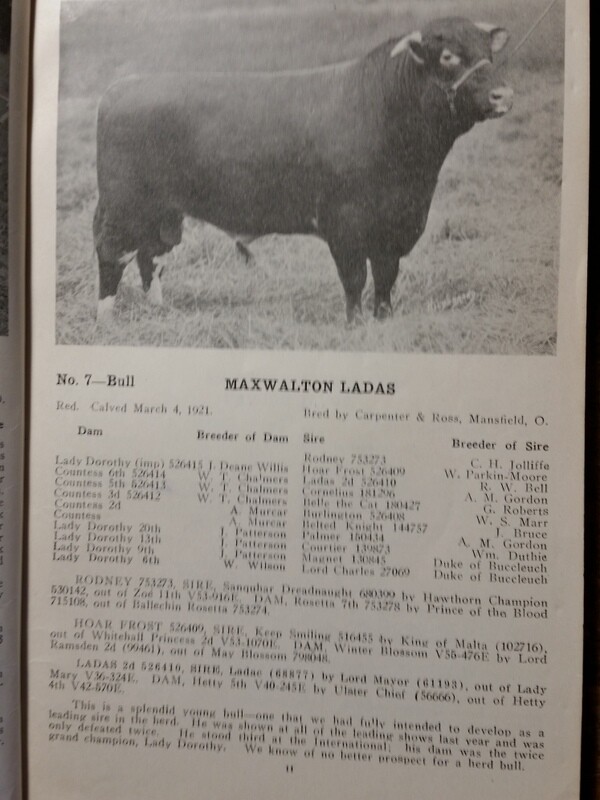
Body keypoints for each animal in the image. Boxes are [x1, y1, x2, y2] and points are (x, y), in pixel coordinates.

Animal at [93, 17, 513, 324]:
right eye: (448, 56)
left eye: (489, 54)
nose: (503, 95)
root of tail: (122, 87)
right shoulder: (345, 223)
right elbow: (354, 279)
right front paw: (355, 325)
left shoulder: (396, 224)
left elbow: (385, 276)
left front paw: (383, 319)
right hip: (123, 205)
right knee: (112, 254)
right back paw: (106, 319)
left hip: (162, 212)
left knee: (150, 256)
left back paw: (158, 310)